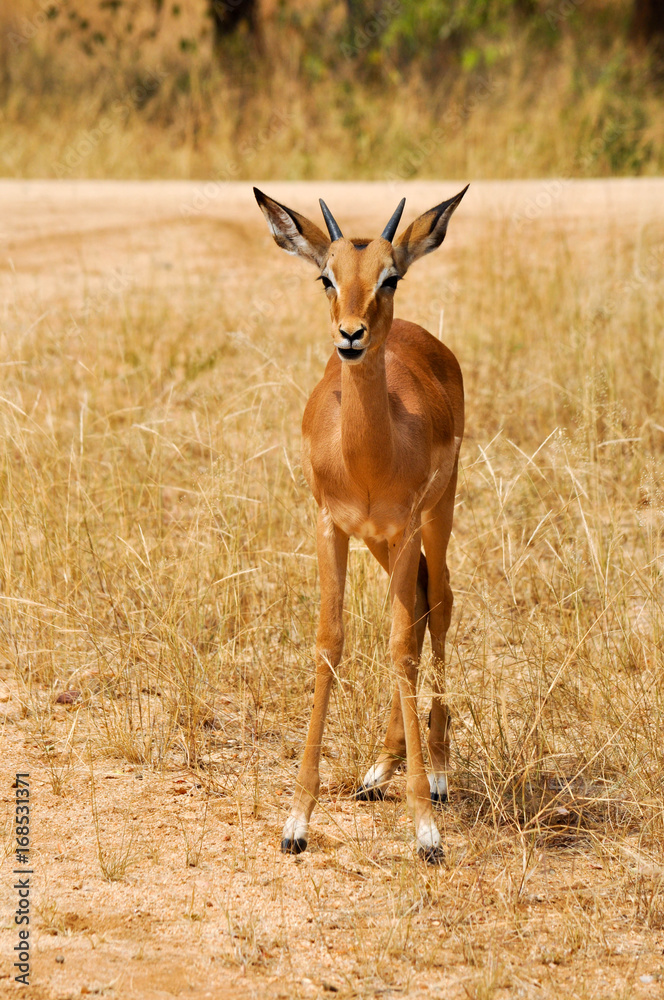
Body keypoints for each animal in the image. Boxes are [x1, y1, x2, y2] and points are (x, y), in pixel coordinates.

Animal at [254, 185, 468, 862]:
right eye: (327, 276)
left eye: (389, 276)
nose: (351, 336)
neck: (371, 456)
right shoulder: (332, 525)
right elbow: (331, 642)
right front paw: (297, 820)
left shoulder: (405, 525)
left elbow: (398, 645)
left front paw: (425, 830)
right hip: (379, 541)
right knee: (421, 600)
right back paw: (380, 769)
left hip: (438, 512)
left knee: (439, 599)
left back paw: (440, 772)